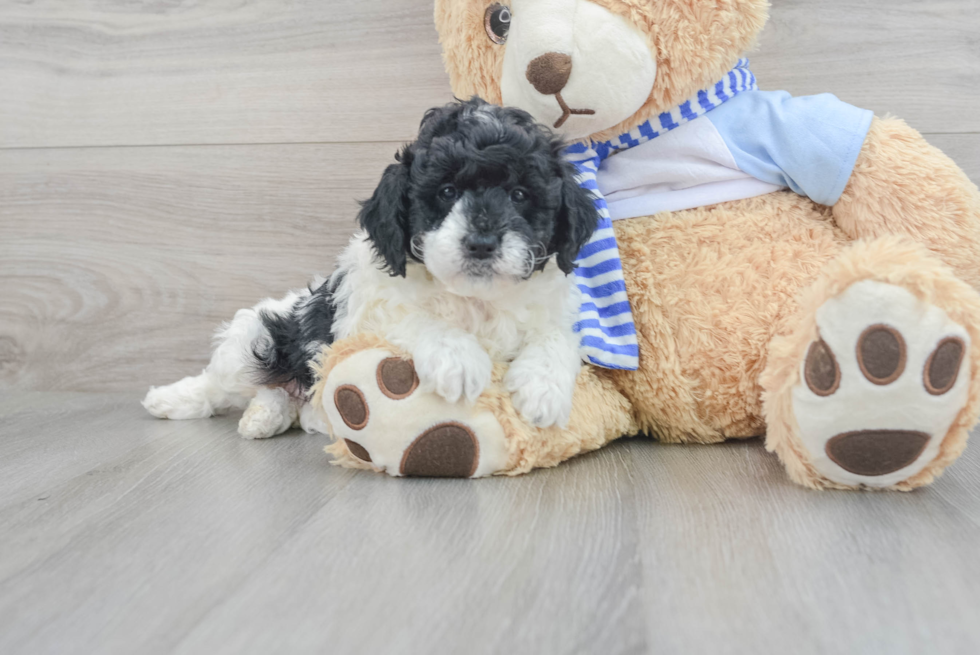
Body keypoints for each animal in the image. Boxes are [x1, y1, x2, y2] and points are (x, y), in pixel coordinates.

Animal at [141, 98, 592, 440]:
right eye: (446, 192)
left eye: (519, 195)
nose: (481, 243)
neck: (474, 299)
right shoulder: (366, 313)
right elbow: (414, 318)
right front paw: (459, 358)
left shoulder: (552, 310)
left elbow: (558, 337)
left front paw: (543, 389)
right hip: (258, 337)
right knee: (223, 382)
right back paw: (173, 399)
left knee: (280, 396)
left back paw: (276, 417)